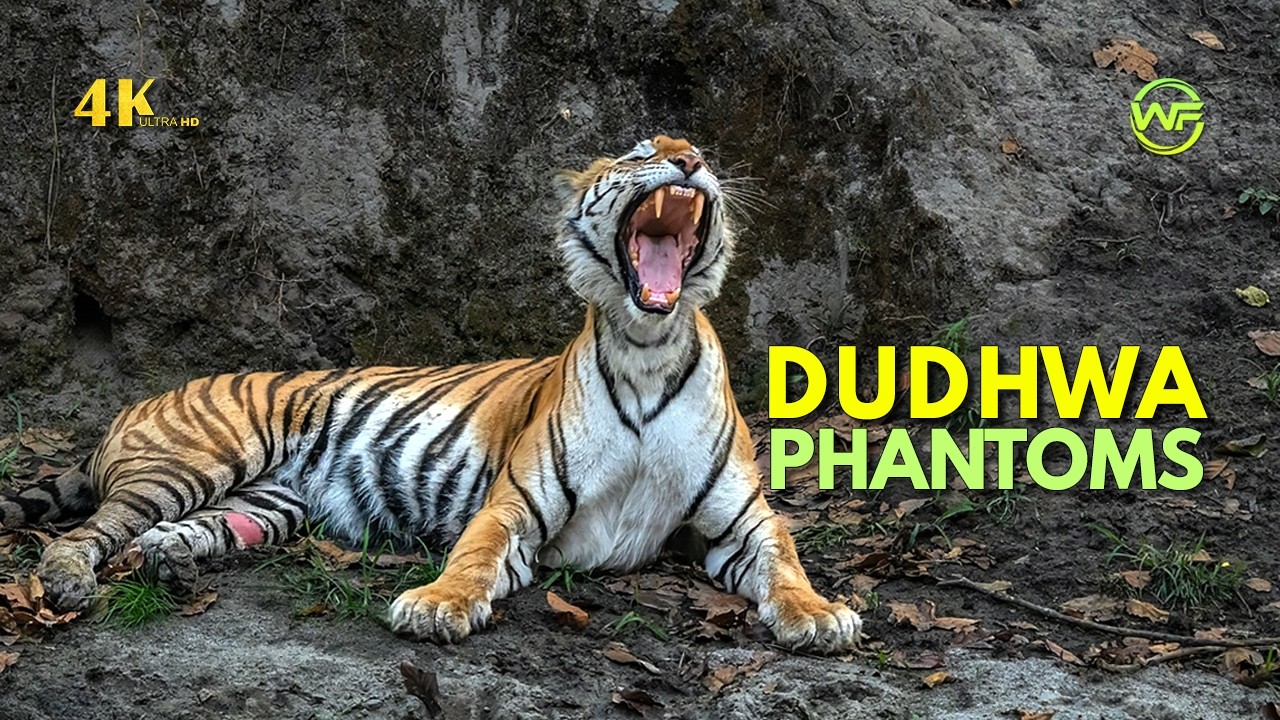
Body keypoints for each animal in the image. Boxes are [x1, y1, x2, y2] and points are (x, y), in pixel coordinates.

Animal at [0, 135, 861, 652]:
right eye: (641, 151)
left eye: (697, 152)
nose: (689, 159)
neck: (647, 345)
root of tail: (137, 404)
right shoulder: (517, 501)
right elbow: (474, 556)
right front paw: (437, 604)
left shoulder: (742, 519)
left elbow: (786, 564)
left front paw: (822, 616)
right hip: (193, 461)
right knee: (88, 532)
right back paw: (71, 580)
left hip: (266, 503)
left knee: (169, 532)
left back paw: (169, 564)